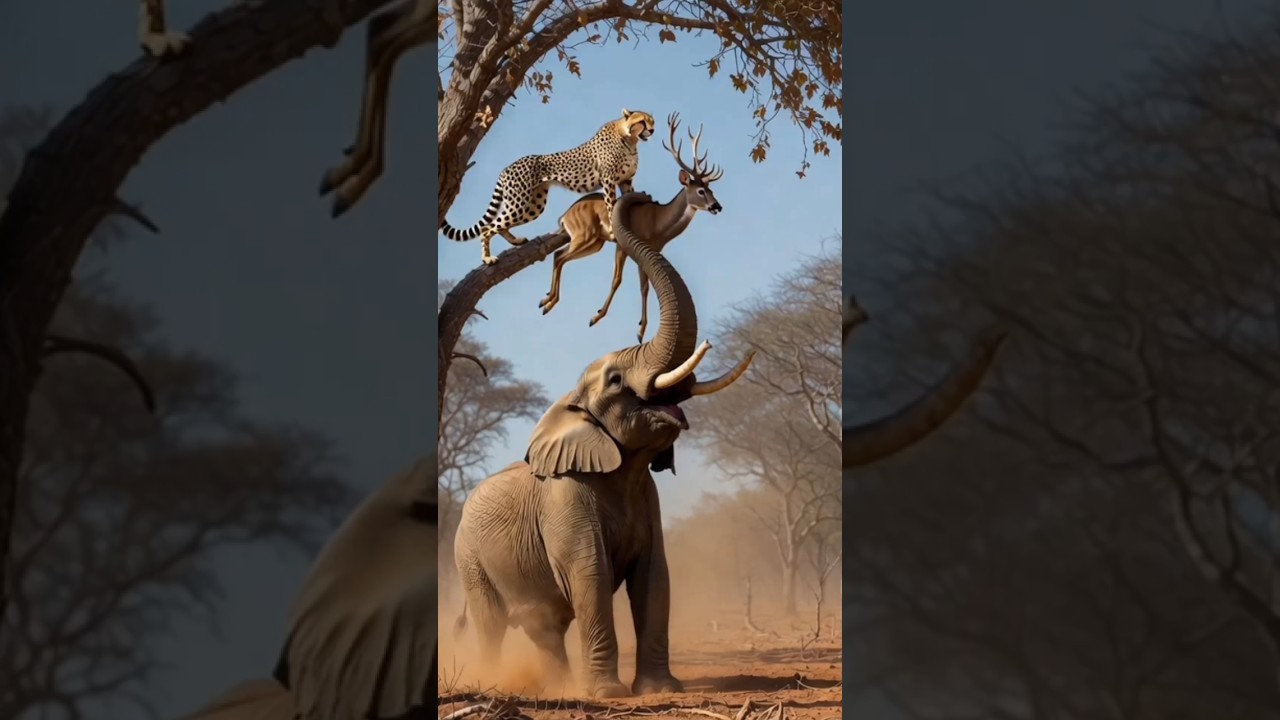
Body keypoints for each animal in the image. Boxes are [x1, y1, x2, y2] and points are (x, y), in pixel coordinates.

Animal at [439, 109, 657, 266]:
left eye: (652, 121)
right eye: (642, 121)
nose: (653, 130)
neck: (630, 139)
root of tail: (506, 168)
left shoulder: (625, 181)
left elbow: (628, 198)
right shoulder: (608, 180)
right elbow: (611, 205)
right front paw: (613, 227)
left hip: (533, 205)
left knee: (500, 224)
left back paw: (515, 241)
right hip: (520, 203)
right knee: (488, 227)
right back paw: (487, 258)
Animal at [451, 191, 755, 699]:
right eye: (615, 382)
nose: (638, 195)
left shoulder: (646, 497)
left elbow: (654, 578)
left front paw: (660, 691)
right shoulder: (565, 498)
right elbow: (591, 577)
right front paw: (610, 695)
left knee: (545, 625)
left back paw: (557, 687)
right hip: (468, 558)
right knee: (490, 623)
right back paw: (492, 682)